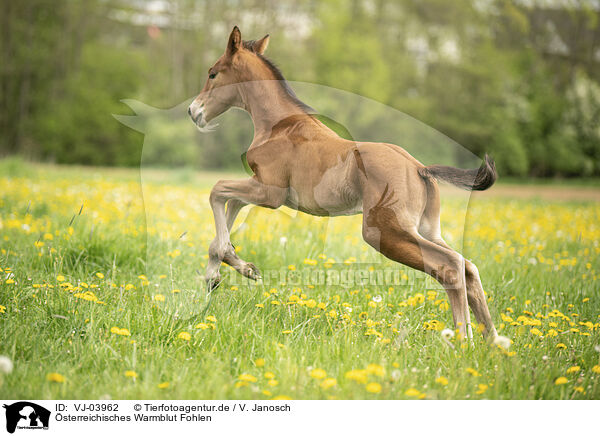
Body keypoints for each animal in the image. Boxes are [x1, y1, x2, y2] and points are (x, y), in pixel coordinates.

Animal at [190, 27, 500, 338]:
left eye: (213, 73)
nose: (194, 112)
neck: (279, 126)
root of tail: (419, 168)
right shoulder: (259, 189)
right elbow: (230, 207)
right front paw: (237, 266)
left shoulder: (269, 193)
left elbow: (217, 191)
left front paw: (216, 274)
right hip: (426, 229)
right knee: (468, 266)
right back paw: (492, 342)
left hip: (386, 233)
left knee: (450, 266)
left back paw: (464, 340)